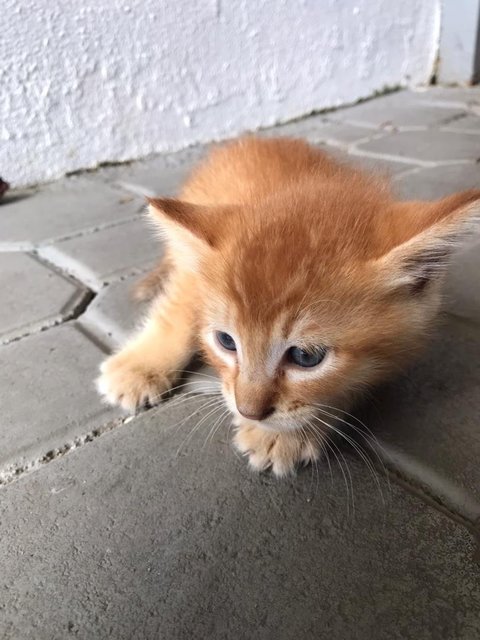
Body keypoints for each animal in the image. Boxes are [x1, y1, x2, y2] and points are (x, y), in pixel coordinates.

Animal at [95, 136, 478, 476]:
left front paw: (287, 435)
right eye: (226, 342)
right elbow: (176, 313)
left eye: (306, 357)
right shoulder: (194, 277)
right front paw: (140, 367)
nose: (248, 411)